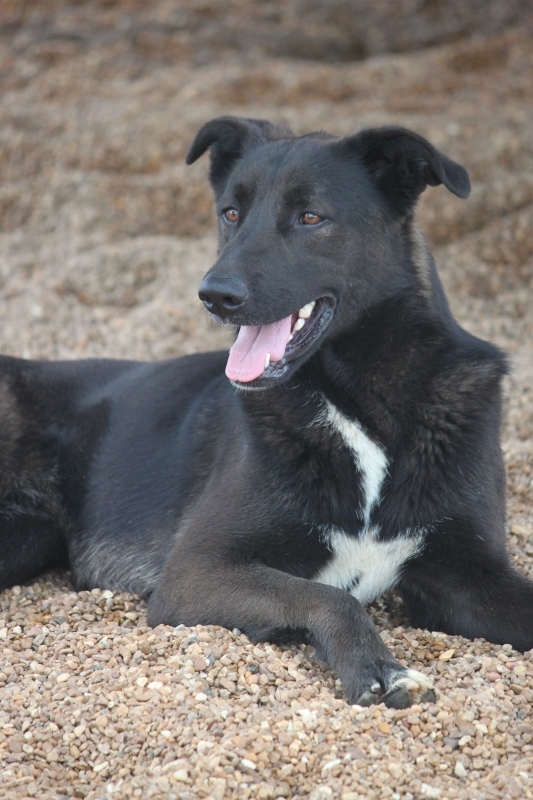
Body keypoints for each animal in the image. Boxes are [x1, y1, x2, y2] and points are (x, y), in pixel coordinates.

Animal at [1, 117, 532, 708]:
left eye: (311, 217)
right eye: (231, 213)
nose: (214, 295)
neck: (365, 403)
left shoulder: (473, 577)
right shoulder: (194, 572)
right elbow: (331, 597)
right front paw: (378, 668)